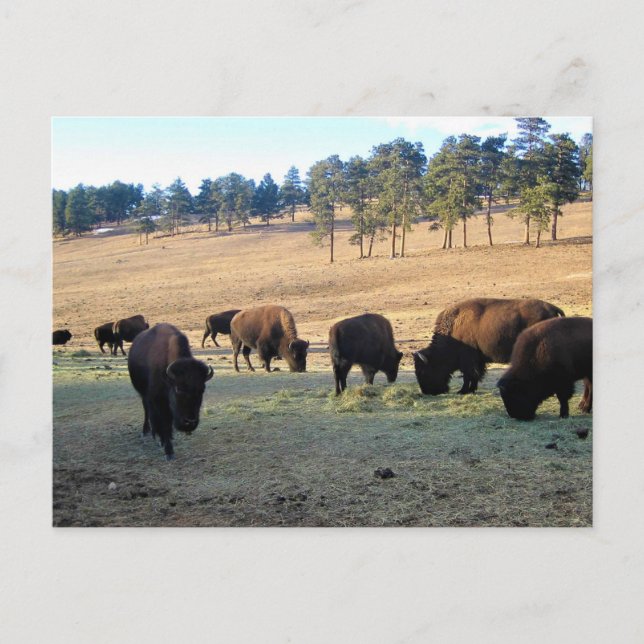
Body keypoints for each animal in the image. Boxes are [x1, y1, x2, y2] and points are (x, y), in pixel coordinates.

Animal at [128, 323, 214, 460]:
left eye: (202, 389)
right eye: (178, 388)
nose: (190, 422)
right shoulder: (158, 401)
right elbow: (164, 423)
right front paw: (169, 451)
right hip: (143, 395)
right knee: (147, 411)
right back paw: (148, 432)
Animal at [413, 297, 565, 395]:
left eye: (422, 371)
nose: (427, 392)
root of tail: (553, 308)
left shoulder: (467, 360)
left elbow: (468, 375)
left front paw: (462, 391)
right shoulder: (478, 360)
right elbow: (476, 375)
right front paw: (472, 389)